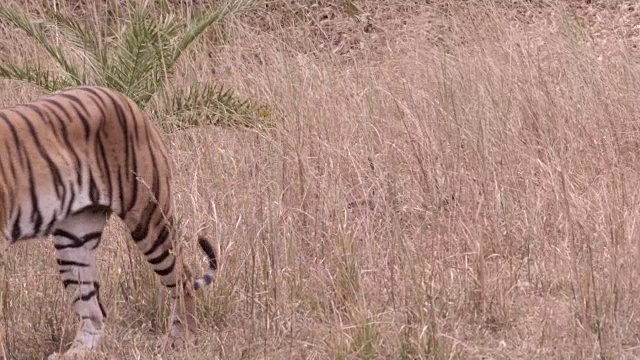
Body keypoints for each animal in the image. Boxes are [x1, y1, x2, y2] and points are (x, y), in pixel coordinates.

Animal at [0, 86, 218, 358]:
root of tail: (122, 97)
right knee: (94, 311)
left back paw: (181, 339)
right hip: (75, 239)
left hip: (149, 217)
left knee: (182, 277)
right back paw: (76, 353)